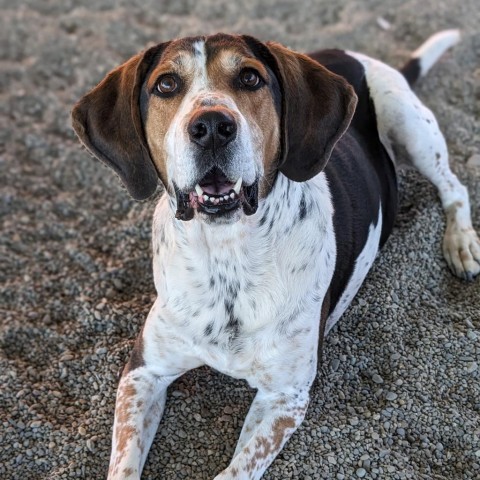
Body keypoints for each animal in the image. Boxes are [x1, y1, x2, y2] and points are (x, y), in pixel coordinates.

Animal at [71, 31, 480, 480]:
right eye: (165, 84)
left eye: (250, 78)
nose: (211, 127)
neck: (227, 258)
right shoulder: (143, 371)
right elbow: (123, 465)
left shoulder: (285, 397)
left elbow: (234, 471)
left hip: (411, 127)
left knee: (454, 187)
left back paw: (461, 244)